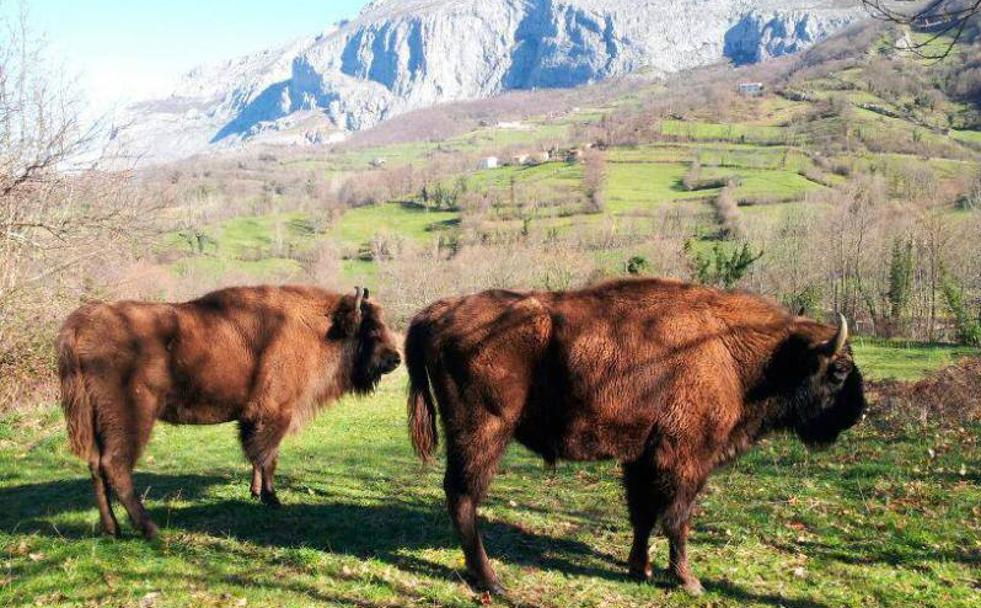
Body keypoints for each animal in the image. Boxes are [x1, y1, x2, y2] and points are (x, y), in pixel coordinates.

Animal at [57, 284, 400, 536]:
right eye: (371, 329)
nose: (395, 358)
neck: (320, 327)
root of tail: (83, 323)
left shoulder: (254, 418)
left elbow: (258, 458)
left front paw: (255, 493)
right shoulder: (275, 414)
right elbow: (268, 457)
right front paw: (272, 498)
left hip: (96, 420)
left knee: (95, 467)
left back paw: (112, 529)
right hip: (131, 417)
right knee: (115, 465)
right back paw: (150, 529)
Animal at [406, 278, 864, 596]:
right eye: (838, 370)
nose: (858, 413)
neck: (731, 351)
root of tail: (437, 312)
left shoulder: (641, 458)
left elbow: (643, 514)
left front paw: (639, 569)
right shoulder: (686, 460)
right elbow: (677, 518)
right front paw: (688, 581)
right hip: (484, 433)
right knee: (464, 496)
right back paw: (492, 582)